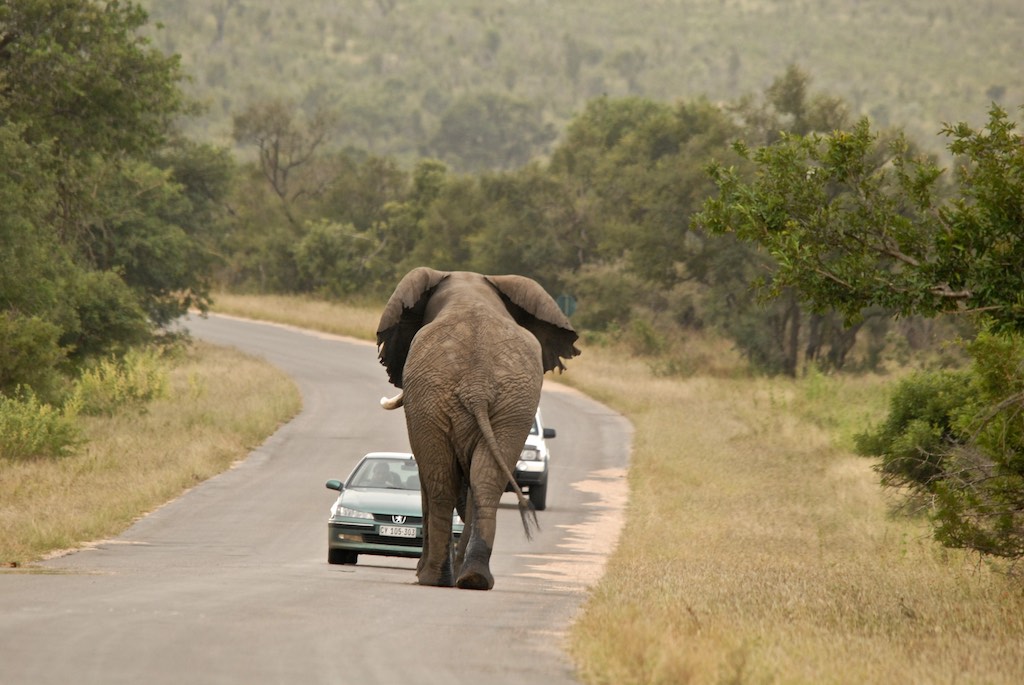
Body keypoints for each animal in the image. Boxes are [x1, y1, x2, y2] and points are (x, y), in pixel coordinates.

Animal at [376, 266, 581, 589]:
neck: (470, 289)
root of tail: (478, 384)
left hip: (432, 399)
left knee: (440, 483)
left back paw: (434, 577)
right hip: (513, 407)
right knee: (486, 481)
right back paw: (473, 577)